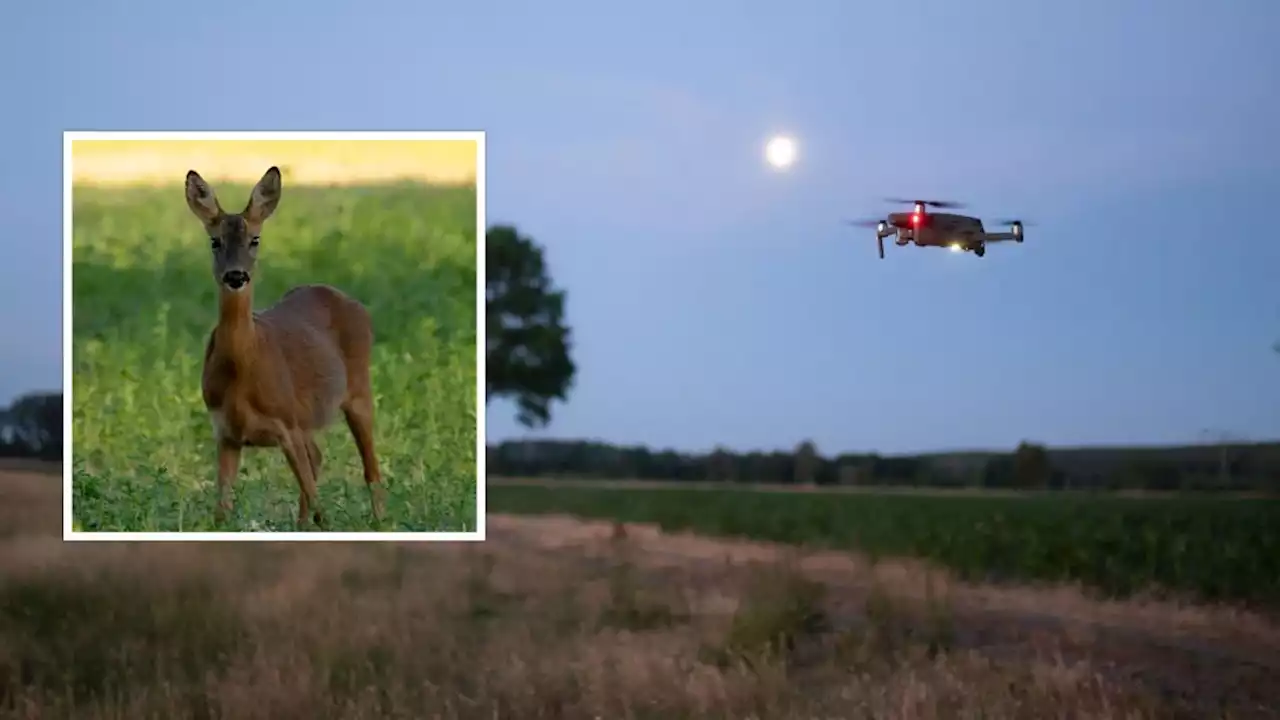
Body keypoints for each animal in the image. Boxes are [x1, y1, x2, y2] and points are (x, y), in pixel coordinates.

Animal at [184, 167, 384, 527]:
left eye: (255, 239)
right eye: (214, 241)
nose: (236, 276)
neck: (242, 372)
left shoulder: (286, 424)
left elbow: (320, 507)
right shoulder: (226, 433)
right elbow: (221, 513)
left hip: (358, 391)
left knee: (370, 469)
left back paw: (380, 522)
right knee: (318, 457)